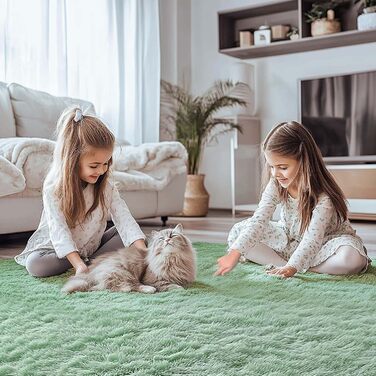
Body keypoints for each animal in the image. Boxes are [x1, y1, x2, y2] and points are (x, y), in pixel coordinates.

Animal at [61, 223, 197, 294]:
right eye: (161, 239)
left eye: (172, 235)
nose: (167, 240)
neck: (172, 259)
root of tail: (90, 273)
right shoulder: (152, 279)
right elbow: (170, 285)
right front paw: (181, 289)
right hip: (124, 272)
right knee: (128, 286)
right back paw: (149, 289)